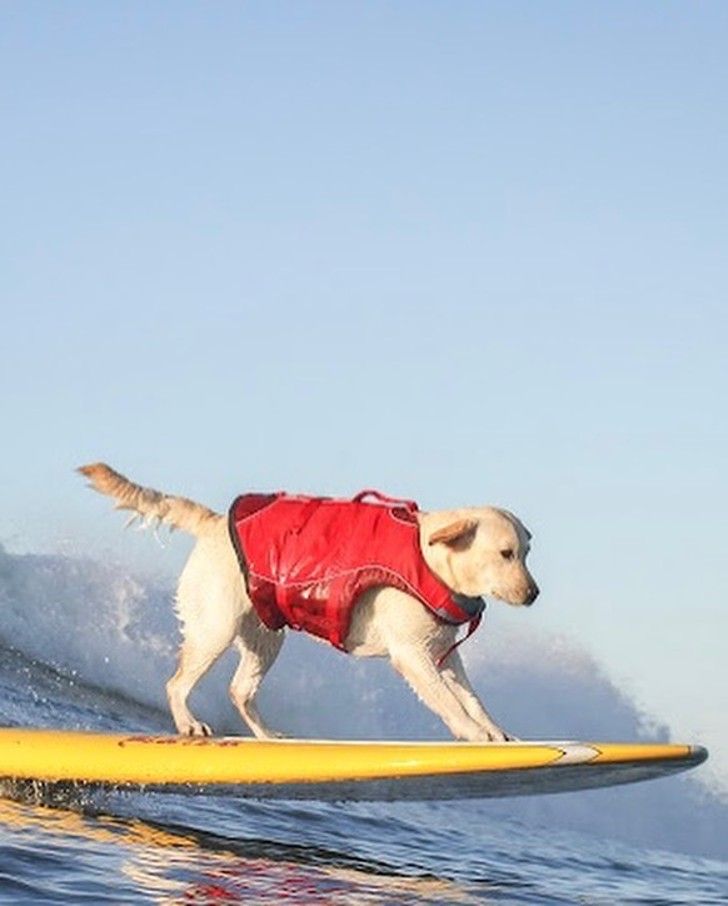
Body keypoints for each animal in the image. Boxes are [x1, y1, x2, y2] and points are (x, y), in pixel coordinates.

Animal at [79, 466, 536, 740]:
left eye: (527, 552)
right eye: (506, 554)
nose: (534, 594)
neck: (431, 559)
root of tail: (213, 523)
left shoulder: (445, 656)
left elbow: (473, 699)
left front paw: (495, 733)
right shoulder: (414, 657)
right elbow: (448, 702)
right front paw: (473, 733)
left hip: (266, 637)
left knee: (239, 690)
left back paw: (267, 736)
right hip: (216, 629)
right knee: (177, 684)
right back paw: (188, 723)